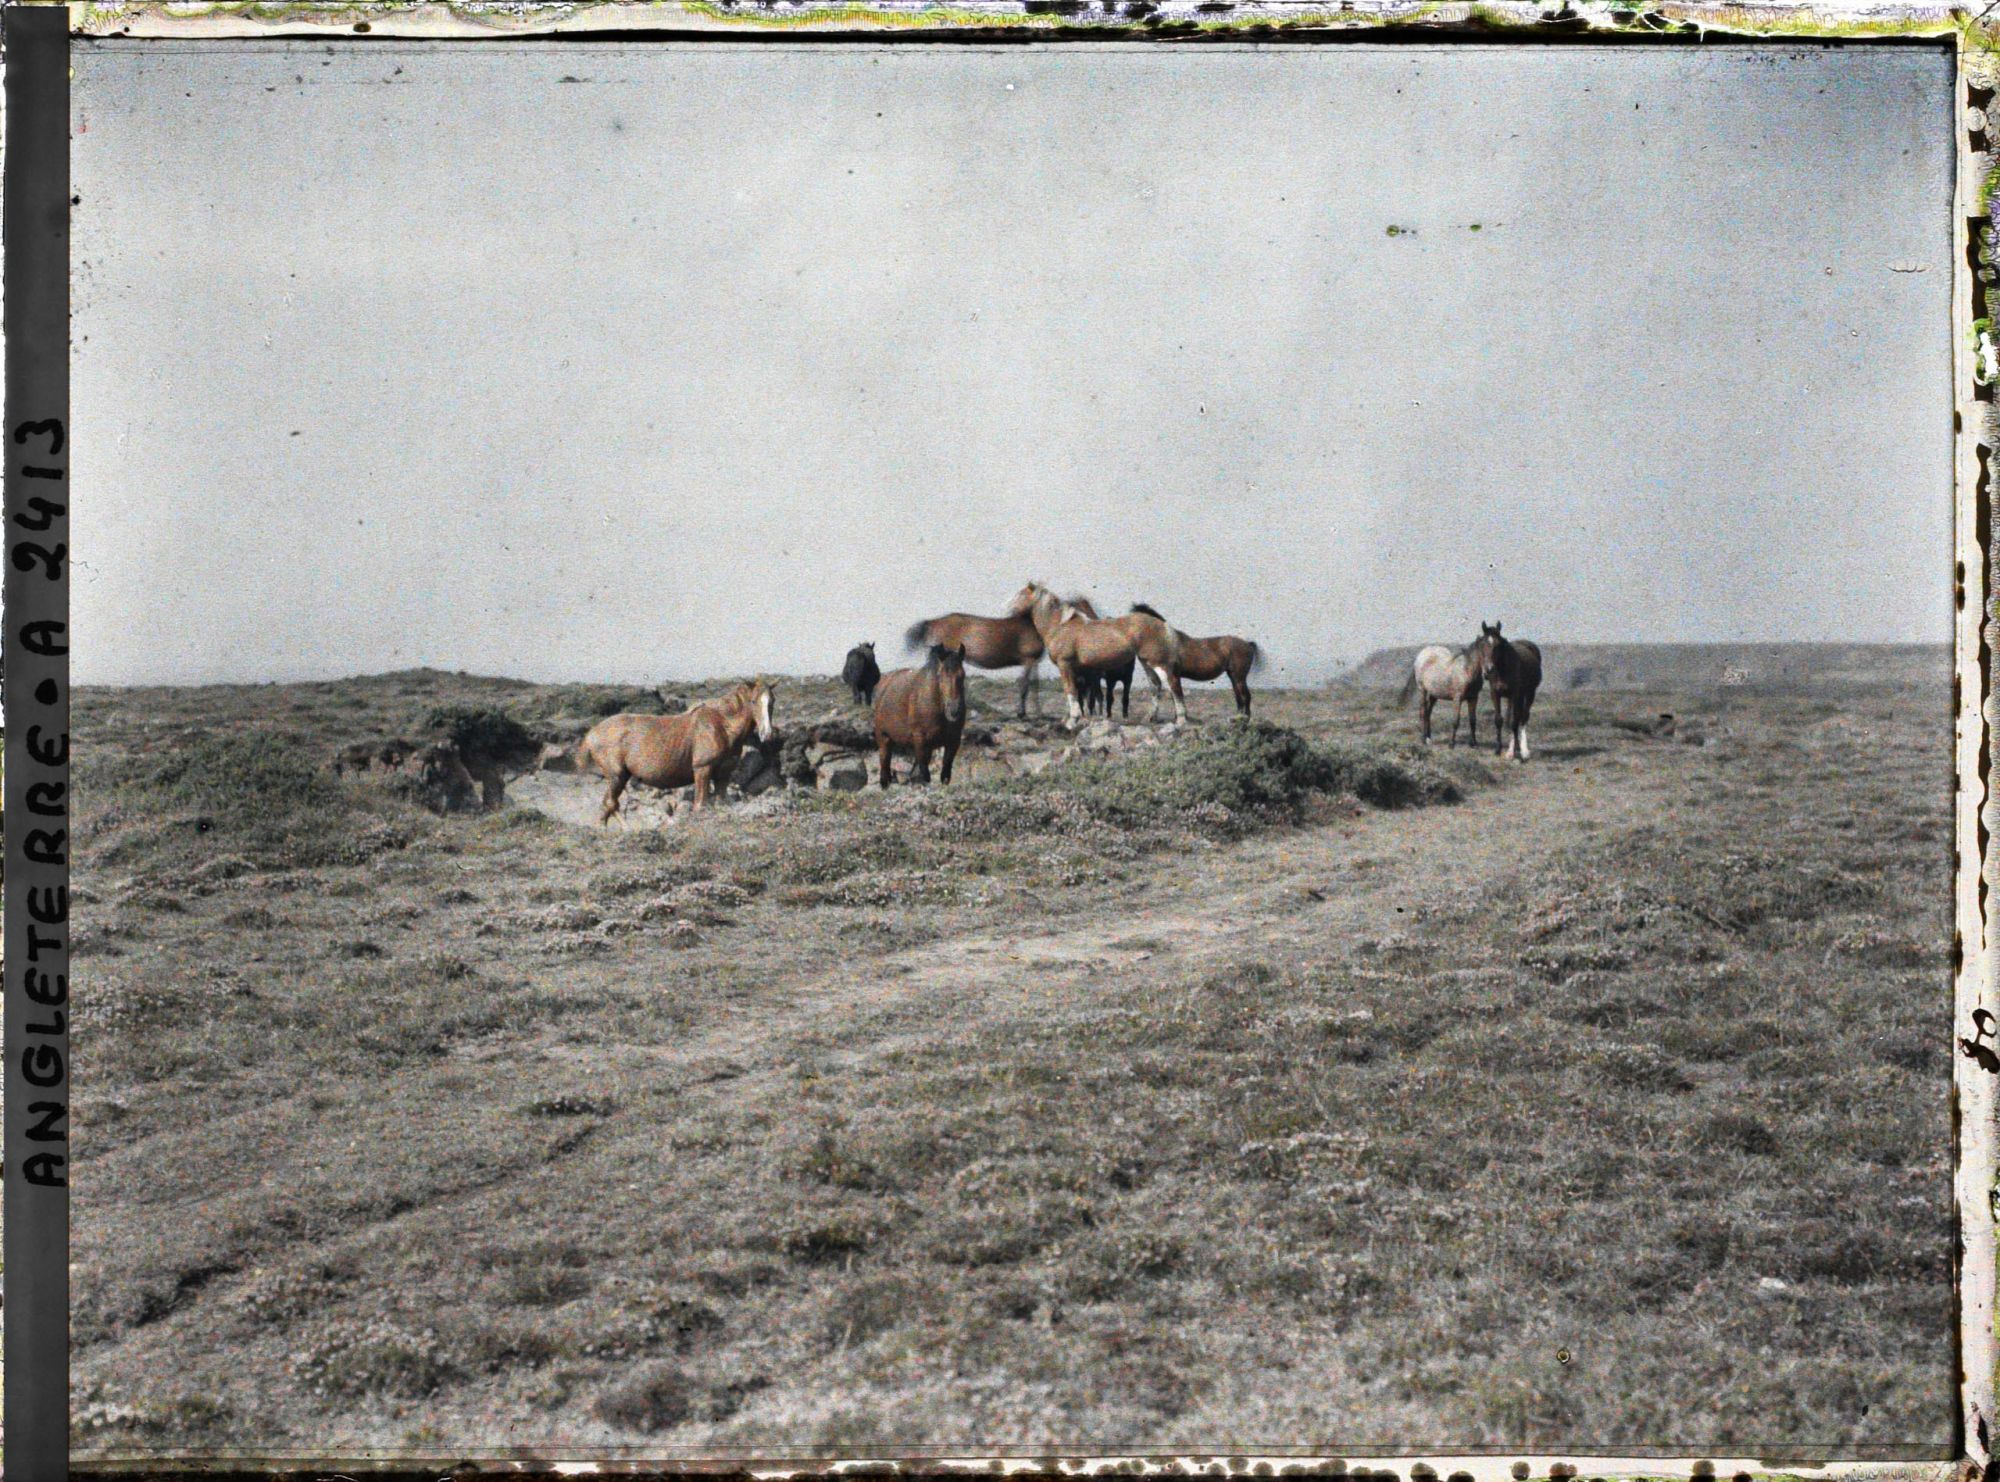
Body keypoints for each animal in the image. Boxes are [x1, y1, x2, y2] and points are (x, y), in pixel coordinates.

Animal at [575, 679, 776, 822]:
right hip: (616, 776)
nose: (766, 734)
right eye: (753, 701)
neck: (722, 725)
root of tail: (591, 734)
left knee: (608, 805)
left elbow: (721, 803)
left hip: (621, 777)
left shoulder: (723, 774)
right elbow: (700, 805)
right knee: (610, 804)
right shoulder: (702, 769)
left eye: (772, 702)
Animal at [873, 644, 968, 788]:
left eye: (962, 675)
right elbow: (925, 774)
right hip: (884, 738)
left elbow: (945, 774)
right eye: (940, 676)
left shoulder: (953, 741)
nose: (954, 710)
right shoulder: (920, 740)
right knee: (884, 766)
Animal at [1009, 583, 1187, 728]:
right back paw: (1150, 718)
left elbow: (1071, 691)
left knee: (1172, 684)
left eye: (1021, 595)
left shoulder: (1065, 664)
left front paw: (1072, 721)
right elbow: (1075, 694)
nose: (1011, 611)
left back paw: (1180, 720)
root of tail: (1164, 625)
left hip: (1157, 662)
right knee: (1156, 685)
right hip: (1146, 662)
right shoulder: (1078, 671)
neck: (1060, 626)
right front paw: (1069, 719)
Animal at [1475, 622, 1543, 761]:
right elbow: (1499, 720)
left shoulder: (1516, 695)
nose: (1488, 670)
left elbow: (1514, 722)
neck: (1502, 670)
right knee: (1514, 716)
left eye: (1497, 645)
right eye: (1482, 644)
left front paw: (1515, 751)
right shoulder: (1495, 694)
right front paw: (1498, 749)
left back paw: (1523, 750)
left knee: (1523, 717)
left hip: (1529, 693)